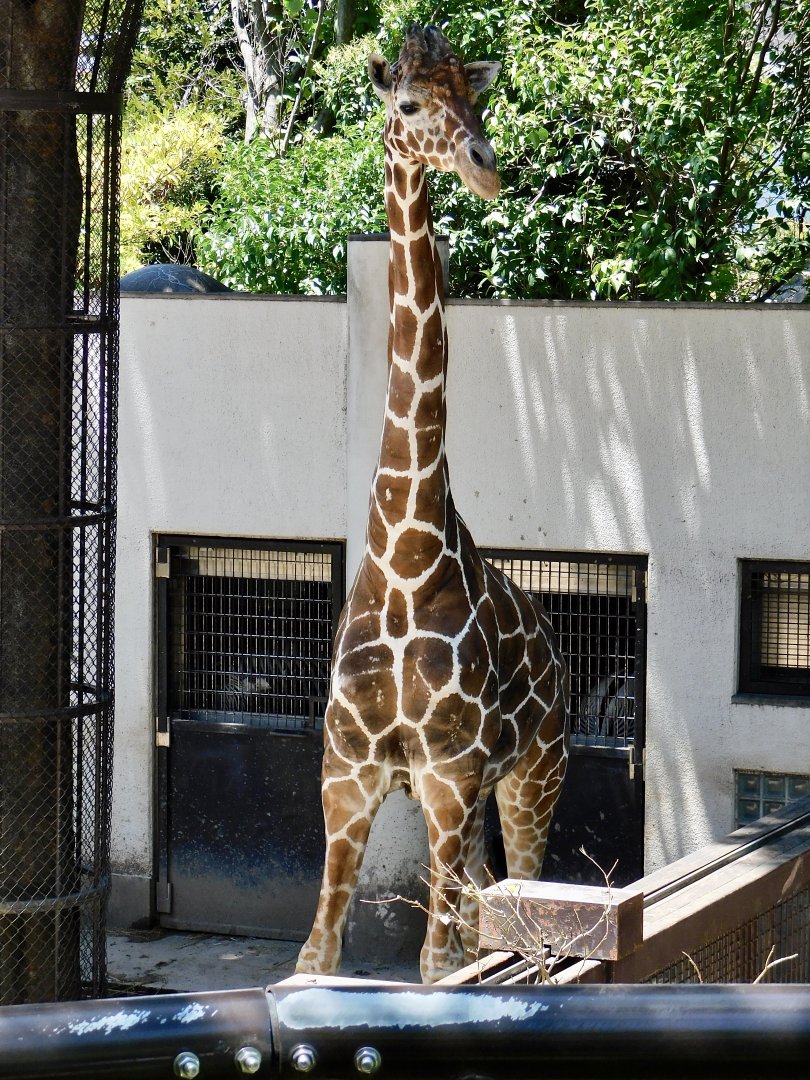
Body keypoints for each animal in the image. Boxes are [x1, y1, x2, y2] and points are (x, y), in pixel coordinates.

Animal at [296, 24, 569, 984]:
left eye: (476, 99)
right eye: (410, 103)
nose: (486, 167)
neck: (405, 559)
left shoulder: (452, 771)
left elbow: (435, 966)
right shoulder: (349, 772)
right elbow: (317, 957)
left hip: (532, 775)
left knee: (518, 912)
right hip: (468, 794)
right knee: (488, 905)